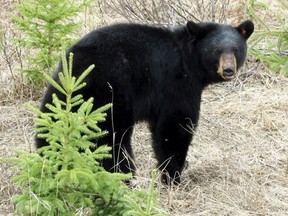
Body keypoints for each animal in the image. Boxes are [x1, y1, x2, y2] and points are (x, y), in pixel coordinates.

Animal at [36, 19, 254, 184]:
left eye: (236, 49)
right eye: (216, 50)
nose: (228, 70)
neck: (190, 60)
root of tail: (77, 67)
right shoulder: (177, 84)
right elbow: (176, 126)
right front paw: (173, 175)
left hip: (62, 91)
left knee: (50, 126)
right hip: (112, 92)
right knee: (111, 138)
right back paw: (122, 173)